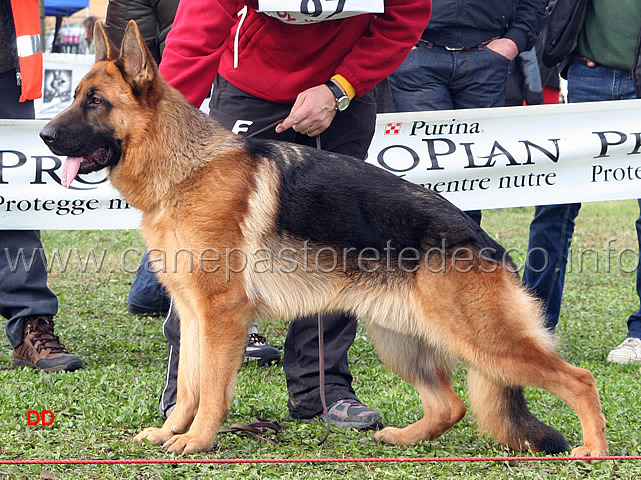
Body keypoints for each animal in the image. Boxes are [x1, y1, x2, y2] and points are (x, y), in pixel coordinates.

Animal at [37, 21, 608, 458]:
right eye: (74, 97)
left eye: (95, 102)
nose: (43, 137)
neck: (185, 169)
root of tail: (484, 241)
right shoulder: (195, 316)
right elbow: (188, 387)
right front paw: (171, 432)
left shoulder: (221, 317)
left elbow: (212, 391)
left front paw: (197, 442)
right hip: (400, 338)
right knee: (452, 405)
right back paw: (402, 438)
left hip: (482, 341)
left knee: (579, 379)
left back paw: (595, 451)